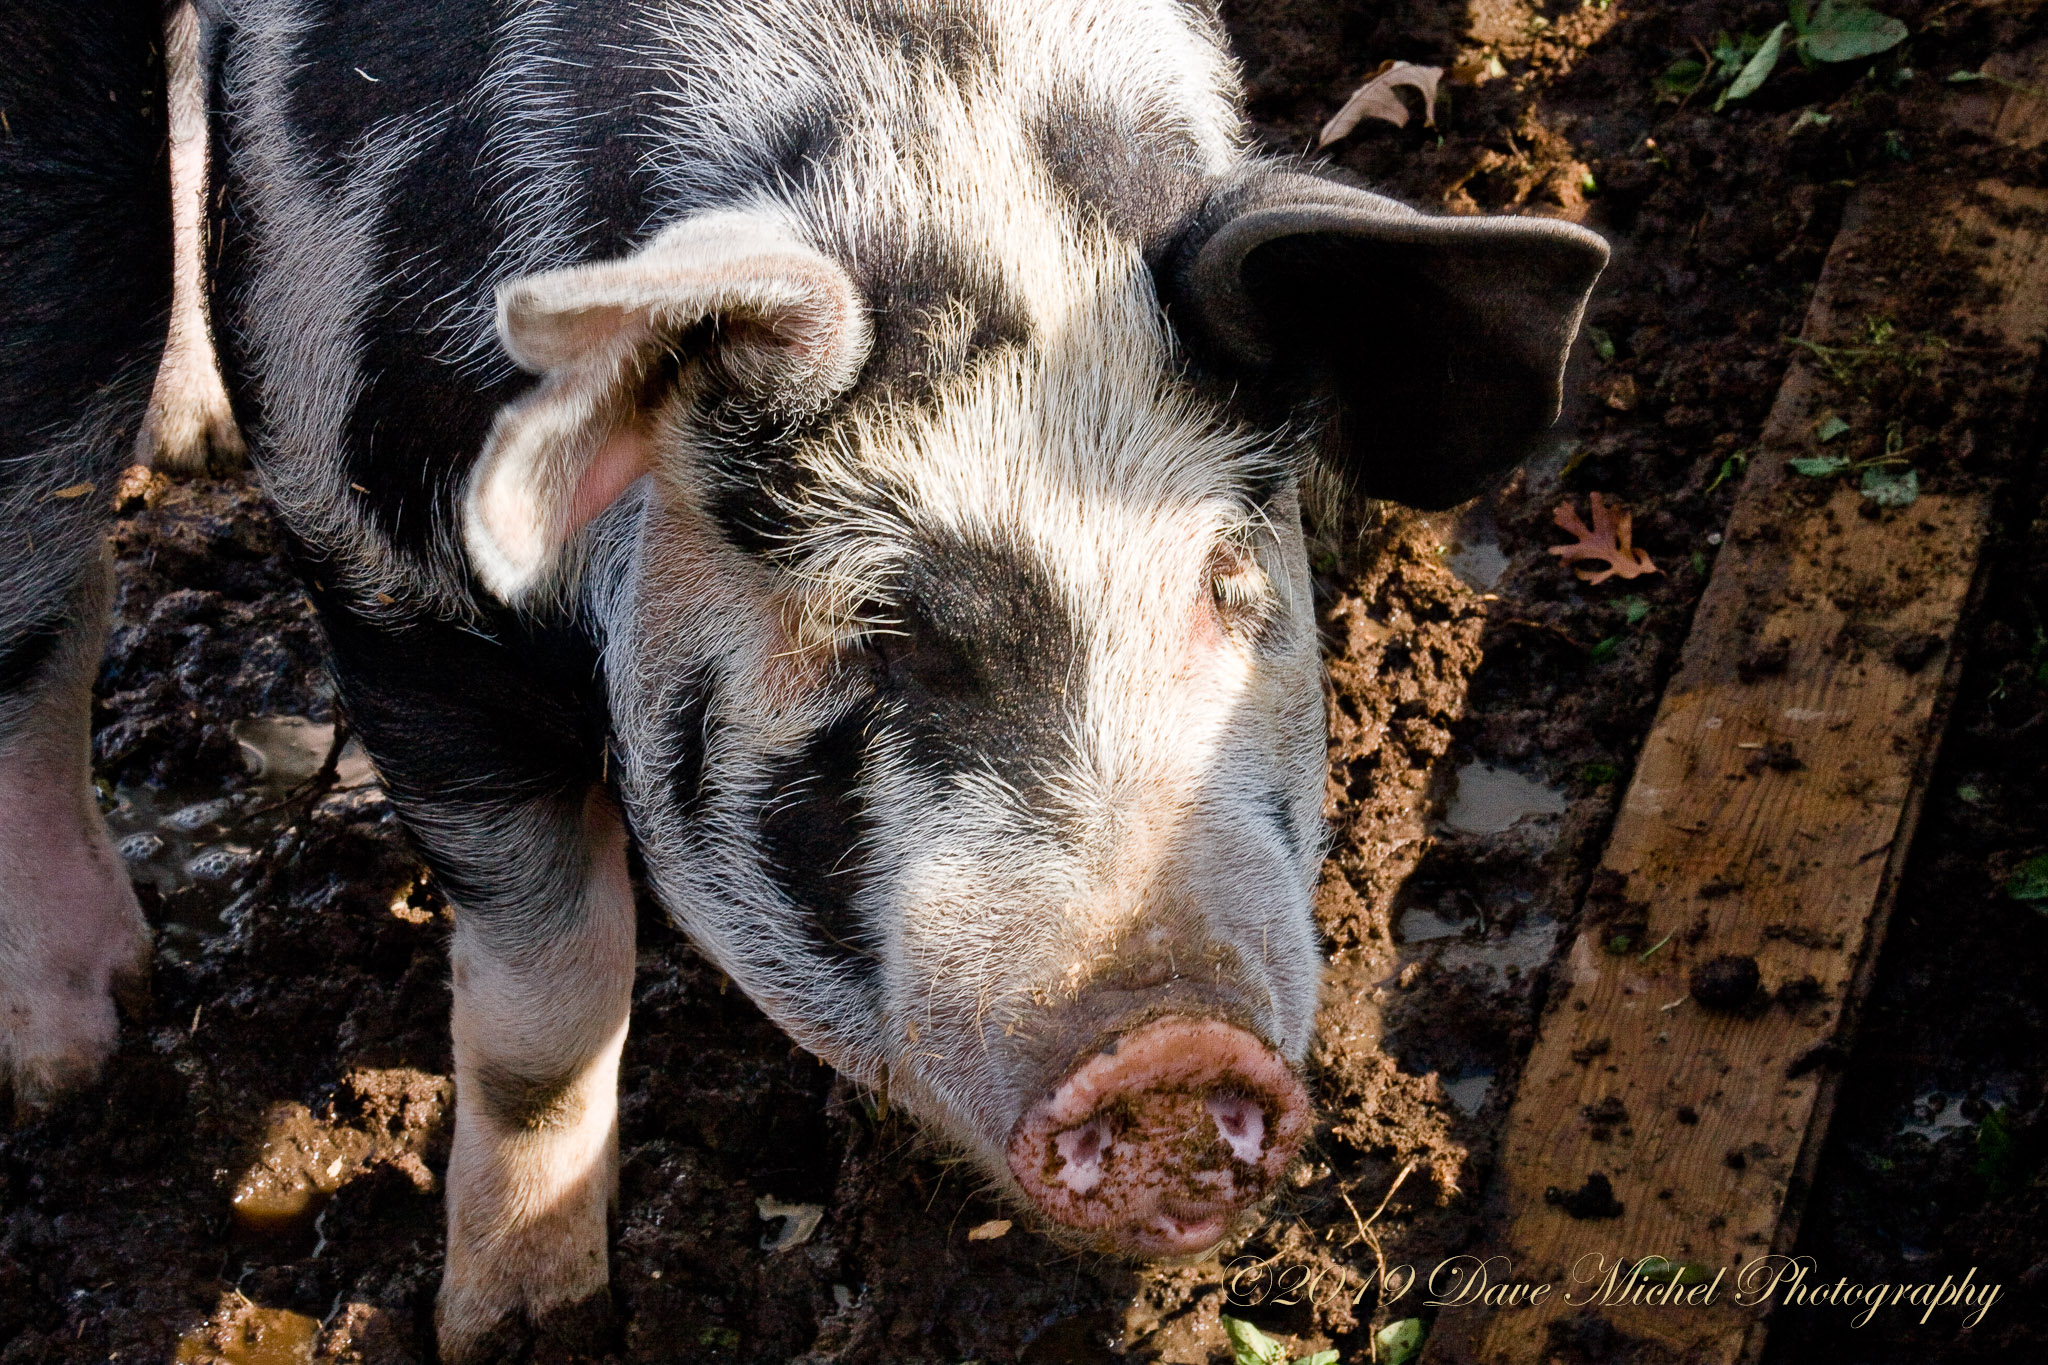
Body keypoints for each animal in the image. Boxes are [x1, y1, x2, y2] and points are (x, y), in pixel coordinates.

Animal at [0, 0, 1597, 1358]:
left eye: (1225, 580)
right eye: (879, 632)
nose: (1172, 1042)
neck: (923, 135)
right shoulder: (389, 592)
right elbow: (544, 1001)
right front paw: (518, 1328)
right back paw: (73, 1053)